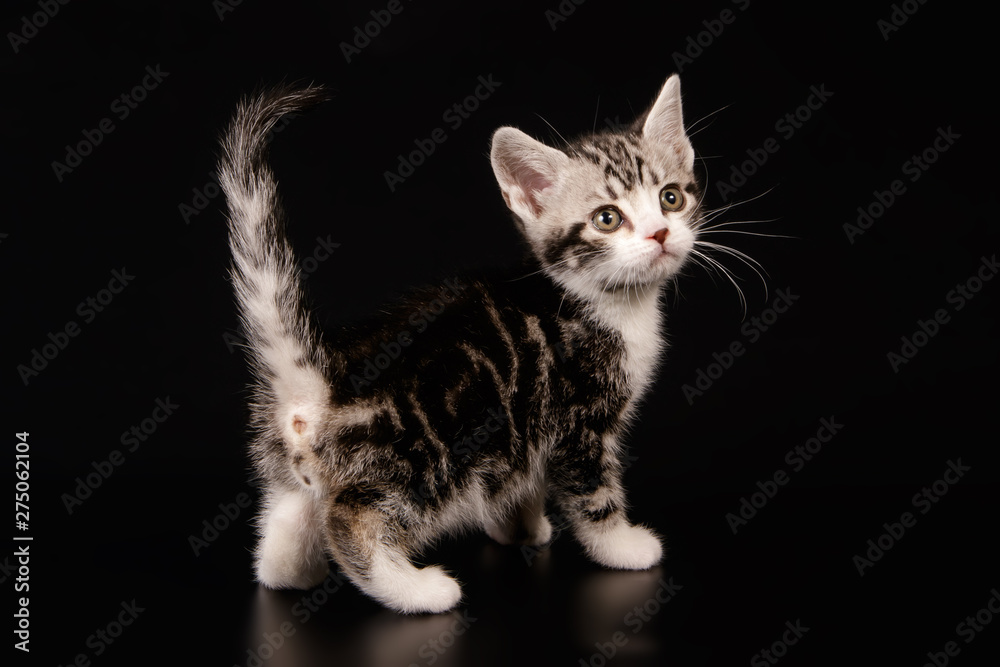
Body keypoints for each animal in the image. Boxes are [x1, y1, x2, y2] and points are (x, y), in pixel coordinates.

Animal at [219, 75, 704, 612]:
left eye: (671, 198)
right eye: (607, 219)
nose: (660, 234)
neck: (604, 301)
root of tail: (320, 382)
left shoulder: (524, 431)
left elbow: (519, 480)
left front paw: (519, 527)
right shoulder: (577, 424)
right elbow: (593, 495)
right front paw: (623, 546)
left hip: (295, 470)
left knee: (286, 524)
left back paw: (291, 571)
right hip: (422, 461)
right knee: (351, 520)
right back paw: (418, 590)